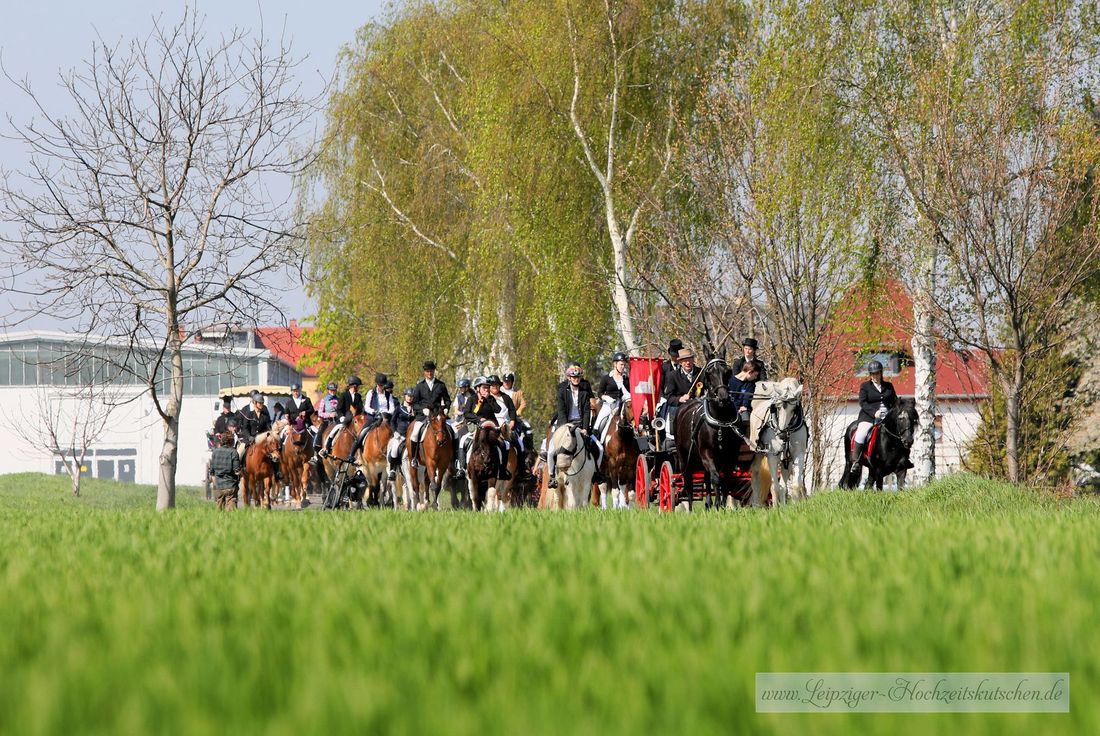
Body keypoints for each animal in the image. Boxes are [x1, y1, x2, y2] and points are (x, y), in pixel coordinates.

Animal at [664, 356, 743, 510]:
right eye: (709, 373)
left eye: (727, 371)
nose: (723, 398)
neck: (721, 421)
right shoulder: (707, 453)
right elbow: (716, 479)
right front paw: (718, 506)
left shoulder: (729, 456)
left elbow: (725, 481)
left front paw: (721, 506)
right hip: (683, 457)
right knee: (688, 482)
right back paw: (690, 509)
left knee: (706, 478)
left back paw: (708, 504)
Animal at [748, 378, 809, 506]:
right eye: (777, 407)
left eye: (794, 409)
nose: (781, 434)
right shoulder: (773, 456)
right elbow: (774, 487)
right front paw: (775, 508)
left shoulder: (798, 454)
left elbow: (795, 485)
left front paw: (795, 506)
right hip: (757, 452)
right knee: (755, 474)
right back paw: (756, 504)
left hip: (786, 460)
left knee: (783, 484)